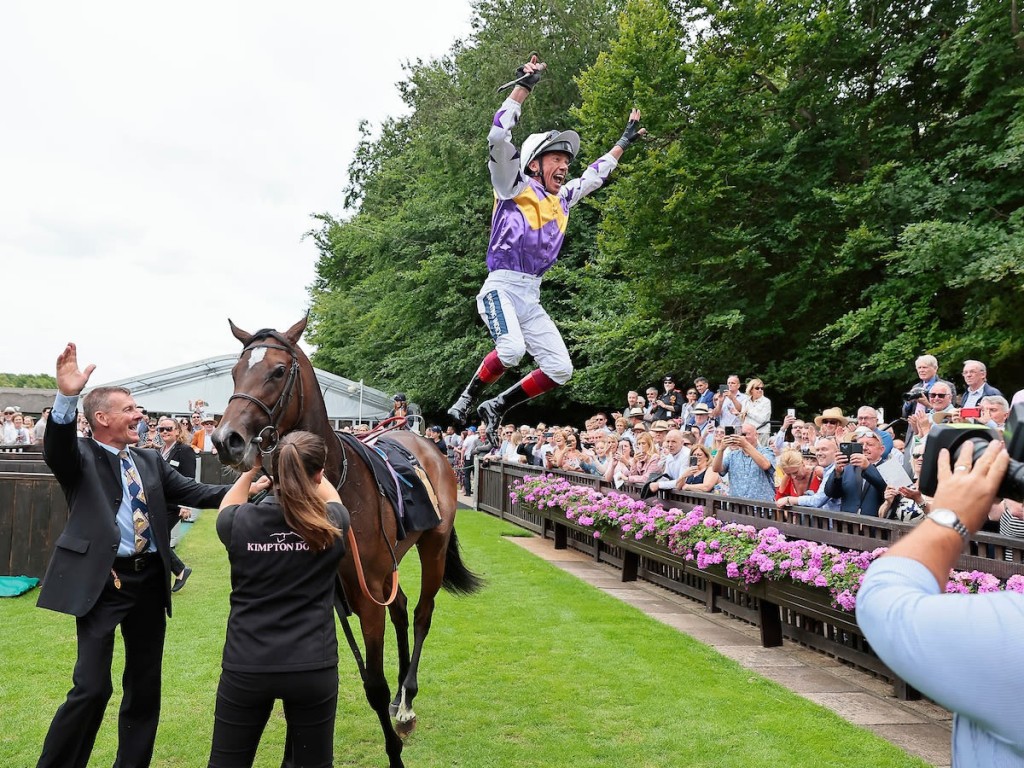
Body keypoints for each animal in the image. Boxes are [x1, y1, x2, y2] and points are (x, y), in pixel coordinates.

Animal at [211, 317, 483, 768]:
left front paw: (394, 750)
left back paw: (407, 702)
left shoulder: (365, 594)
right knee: (402, 607)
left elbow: (372, 682)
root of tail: (427, 444)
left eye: (278, 371)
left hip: (434, 546)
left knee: (422, 613)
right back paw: (400, 698)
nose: (224, 440)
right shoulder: (333, 593)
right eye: (233, 372)